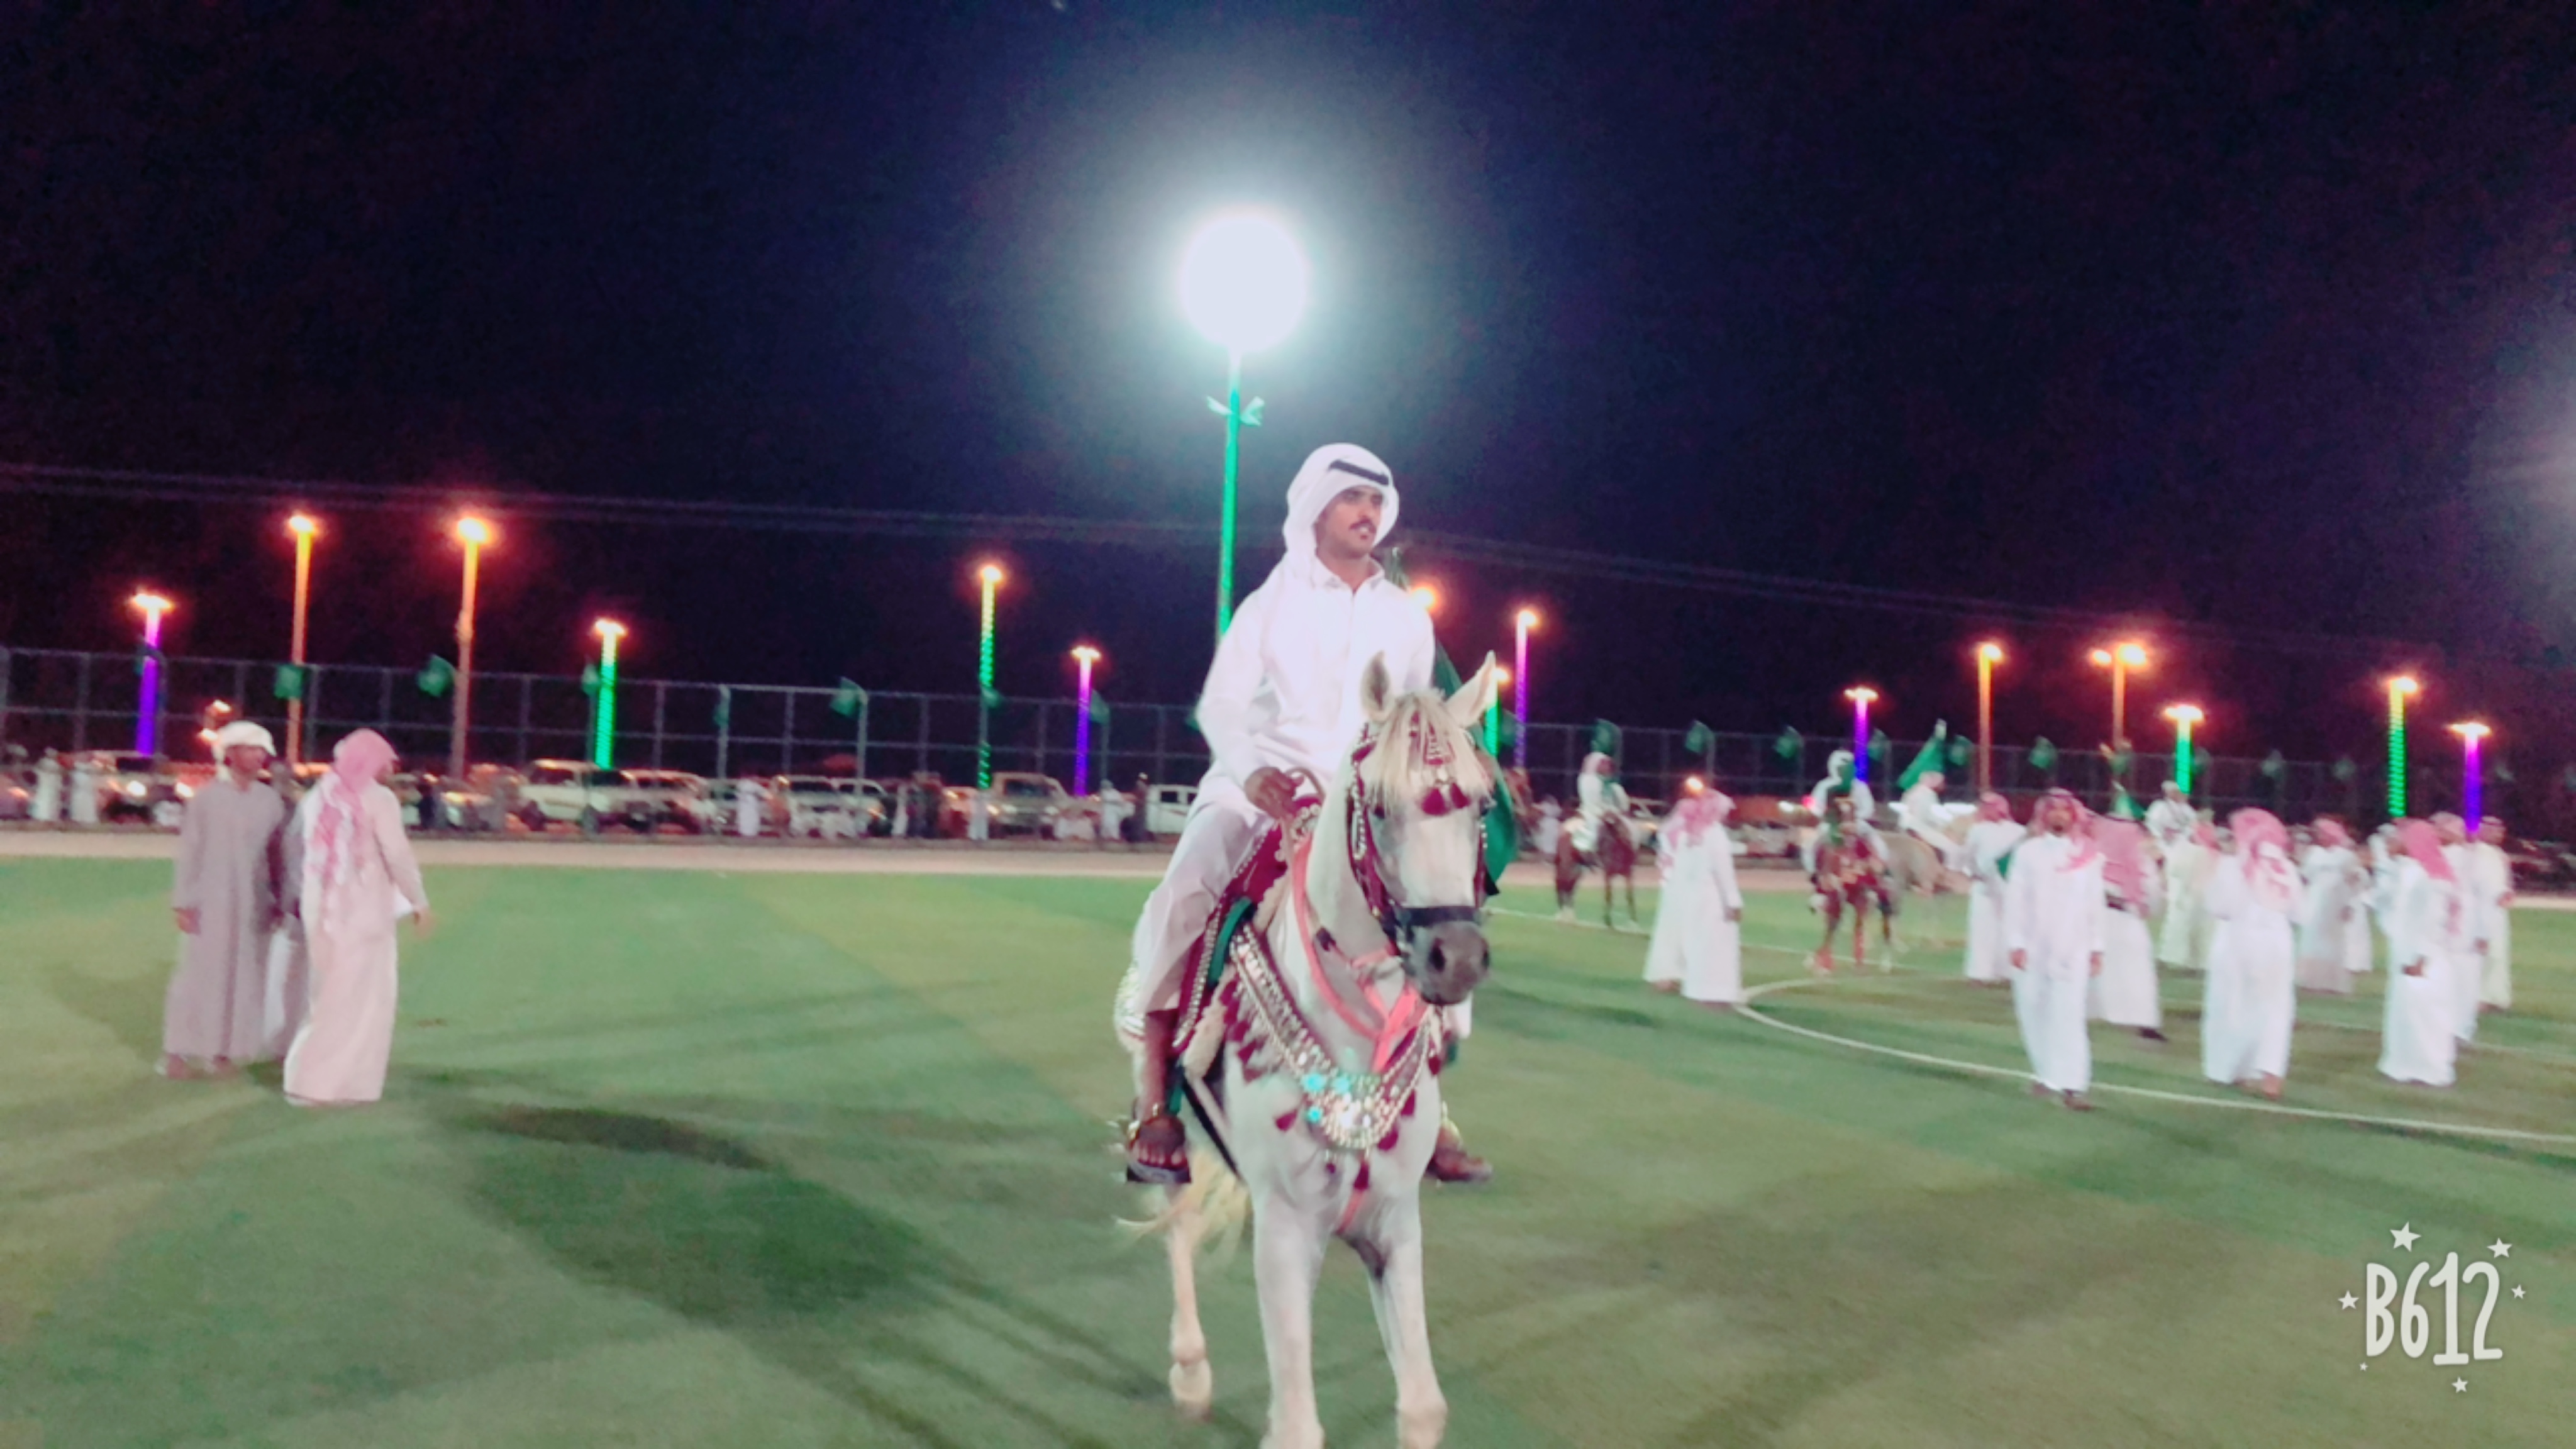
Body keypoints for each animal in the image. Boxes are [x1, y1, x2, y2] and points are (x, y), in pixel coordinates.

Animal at [1145, 655, 1497, 1449]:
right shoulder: (1287, 1227)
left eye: (1481, 809)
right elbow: (1299, 1426)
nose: (1454, 959)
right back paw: (1188, 1367)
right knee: (1176, 1220)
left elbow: (1421, 1407)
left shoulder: (1393, 1223)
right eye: (1382, 809)